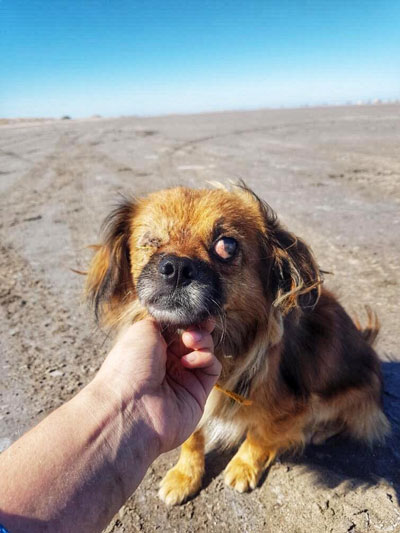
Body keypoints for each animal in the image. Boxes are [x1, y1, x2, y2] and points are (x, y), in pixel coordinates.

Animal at [86, 182, 390, 502]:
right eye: (151, 241)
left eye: (227, 246)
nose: (177, 268)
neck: (224, 343)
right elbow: (192, 437)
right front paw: (185, 475)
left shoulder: (291, 405)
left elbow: (260, 436)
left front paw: (244, 467)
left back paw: (318, 431)